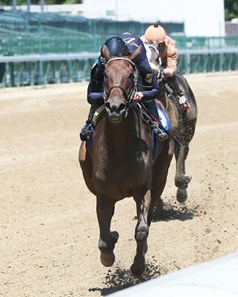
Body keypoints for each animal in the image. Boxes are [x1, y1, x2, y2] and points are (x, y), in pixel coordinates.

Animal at [79, 44, 172, 276]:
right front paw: (108, 254)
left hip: (161, 173)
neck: (119, 149)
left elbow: (141, 230)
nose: (115, 107)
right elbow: (103, 240)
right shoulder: (103, 194)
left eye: (131, 75)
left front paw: (138, 266)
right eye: (105, 75)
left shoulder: (143, 187)